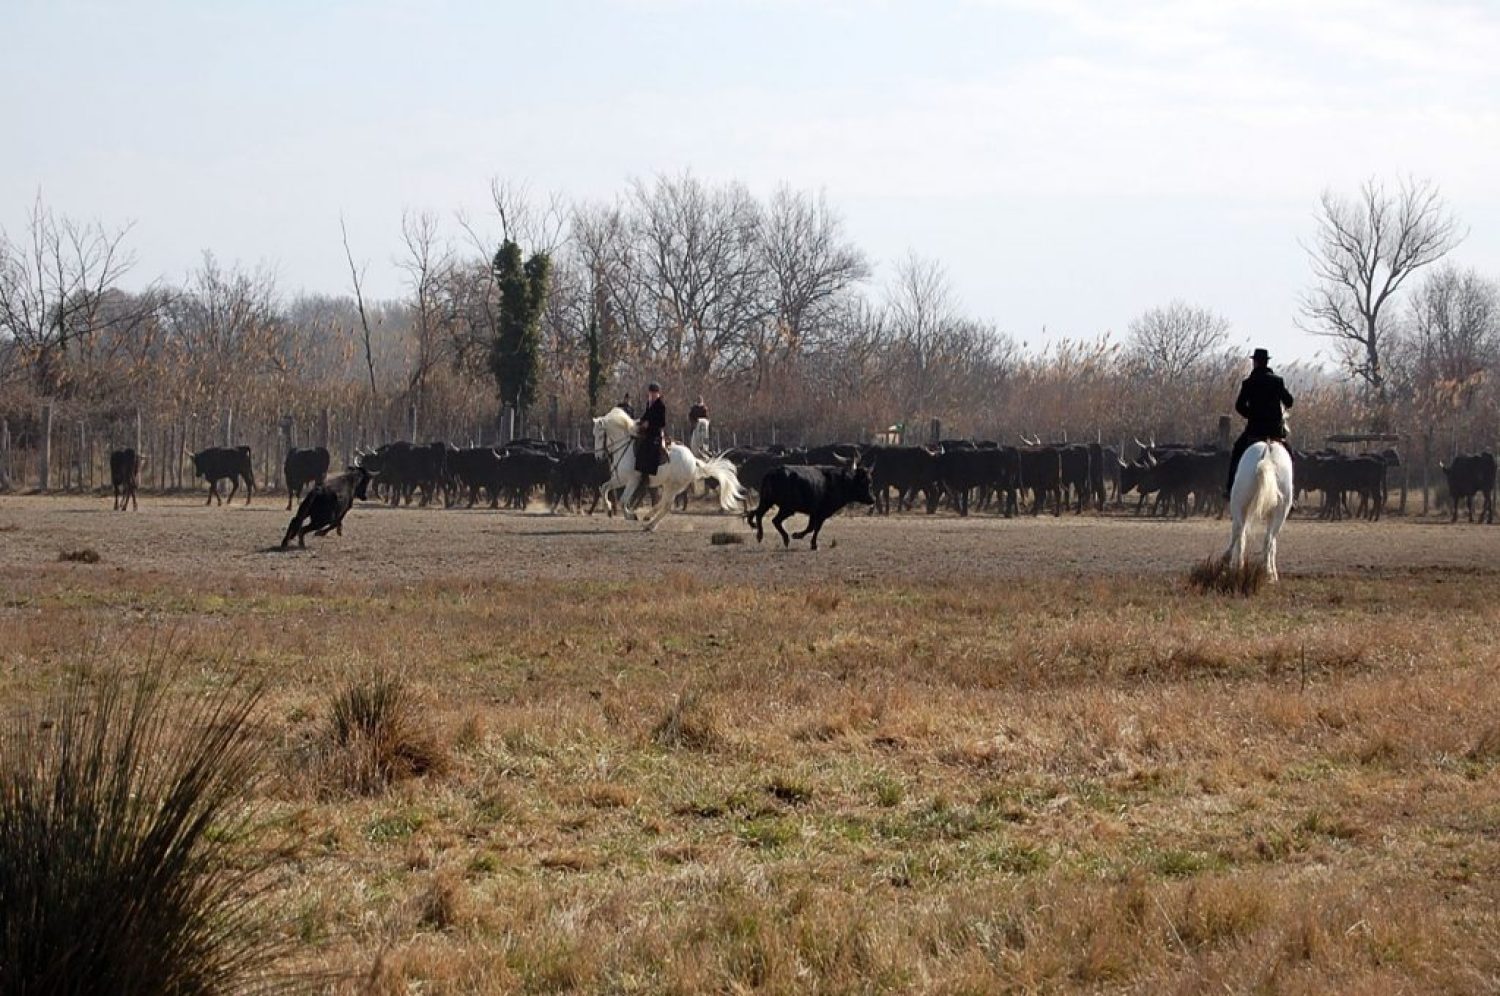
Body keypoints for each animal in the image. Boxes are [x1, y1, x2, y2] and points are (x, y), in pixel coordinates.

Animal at [746, 461, 877, 550]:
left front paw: (798, 536)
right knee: (774, 520)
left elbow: (811, 527)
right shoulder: (822, 513)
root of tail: (772, 473)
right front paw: (810, 542)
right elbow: (815, 528)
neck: (840, 482)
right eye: (864, 483)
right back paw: (785, 539)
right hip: (786, 508)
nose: (873, 499)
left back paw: (759, 534)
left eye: (870, 482)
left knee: (758, 514)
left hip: (767, 501)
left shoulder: (814, 513)